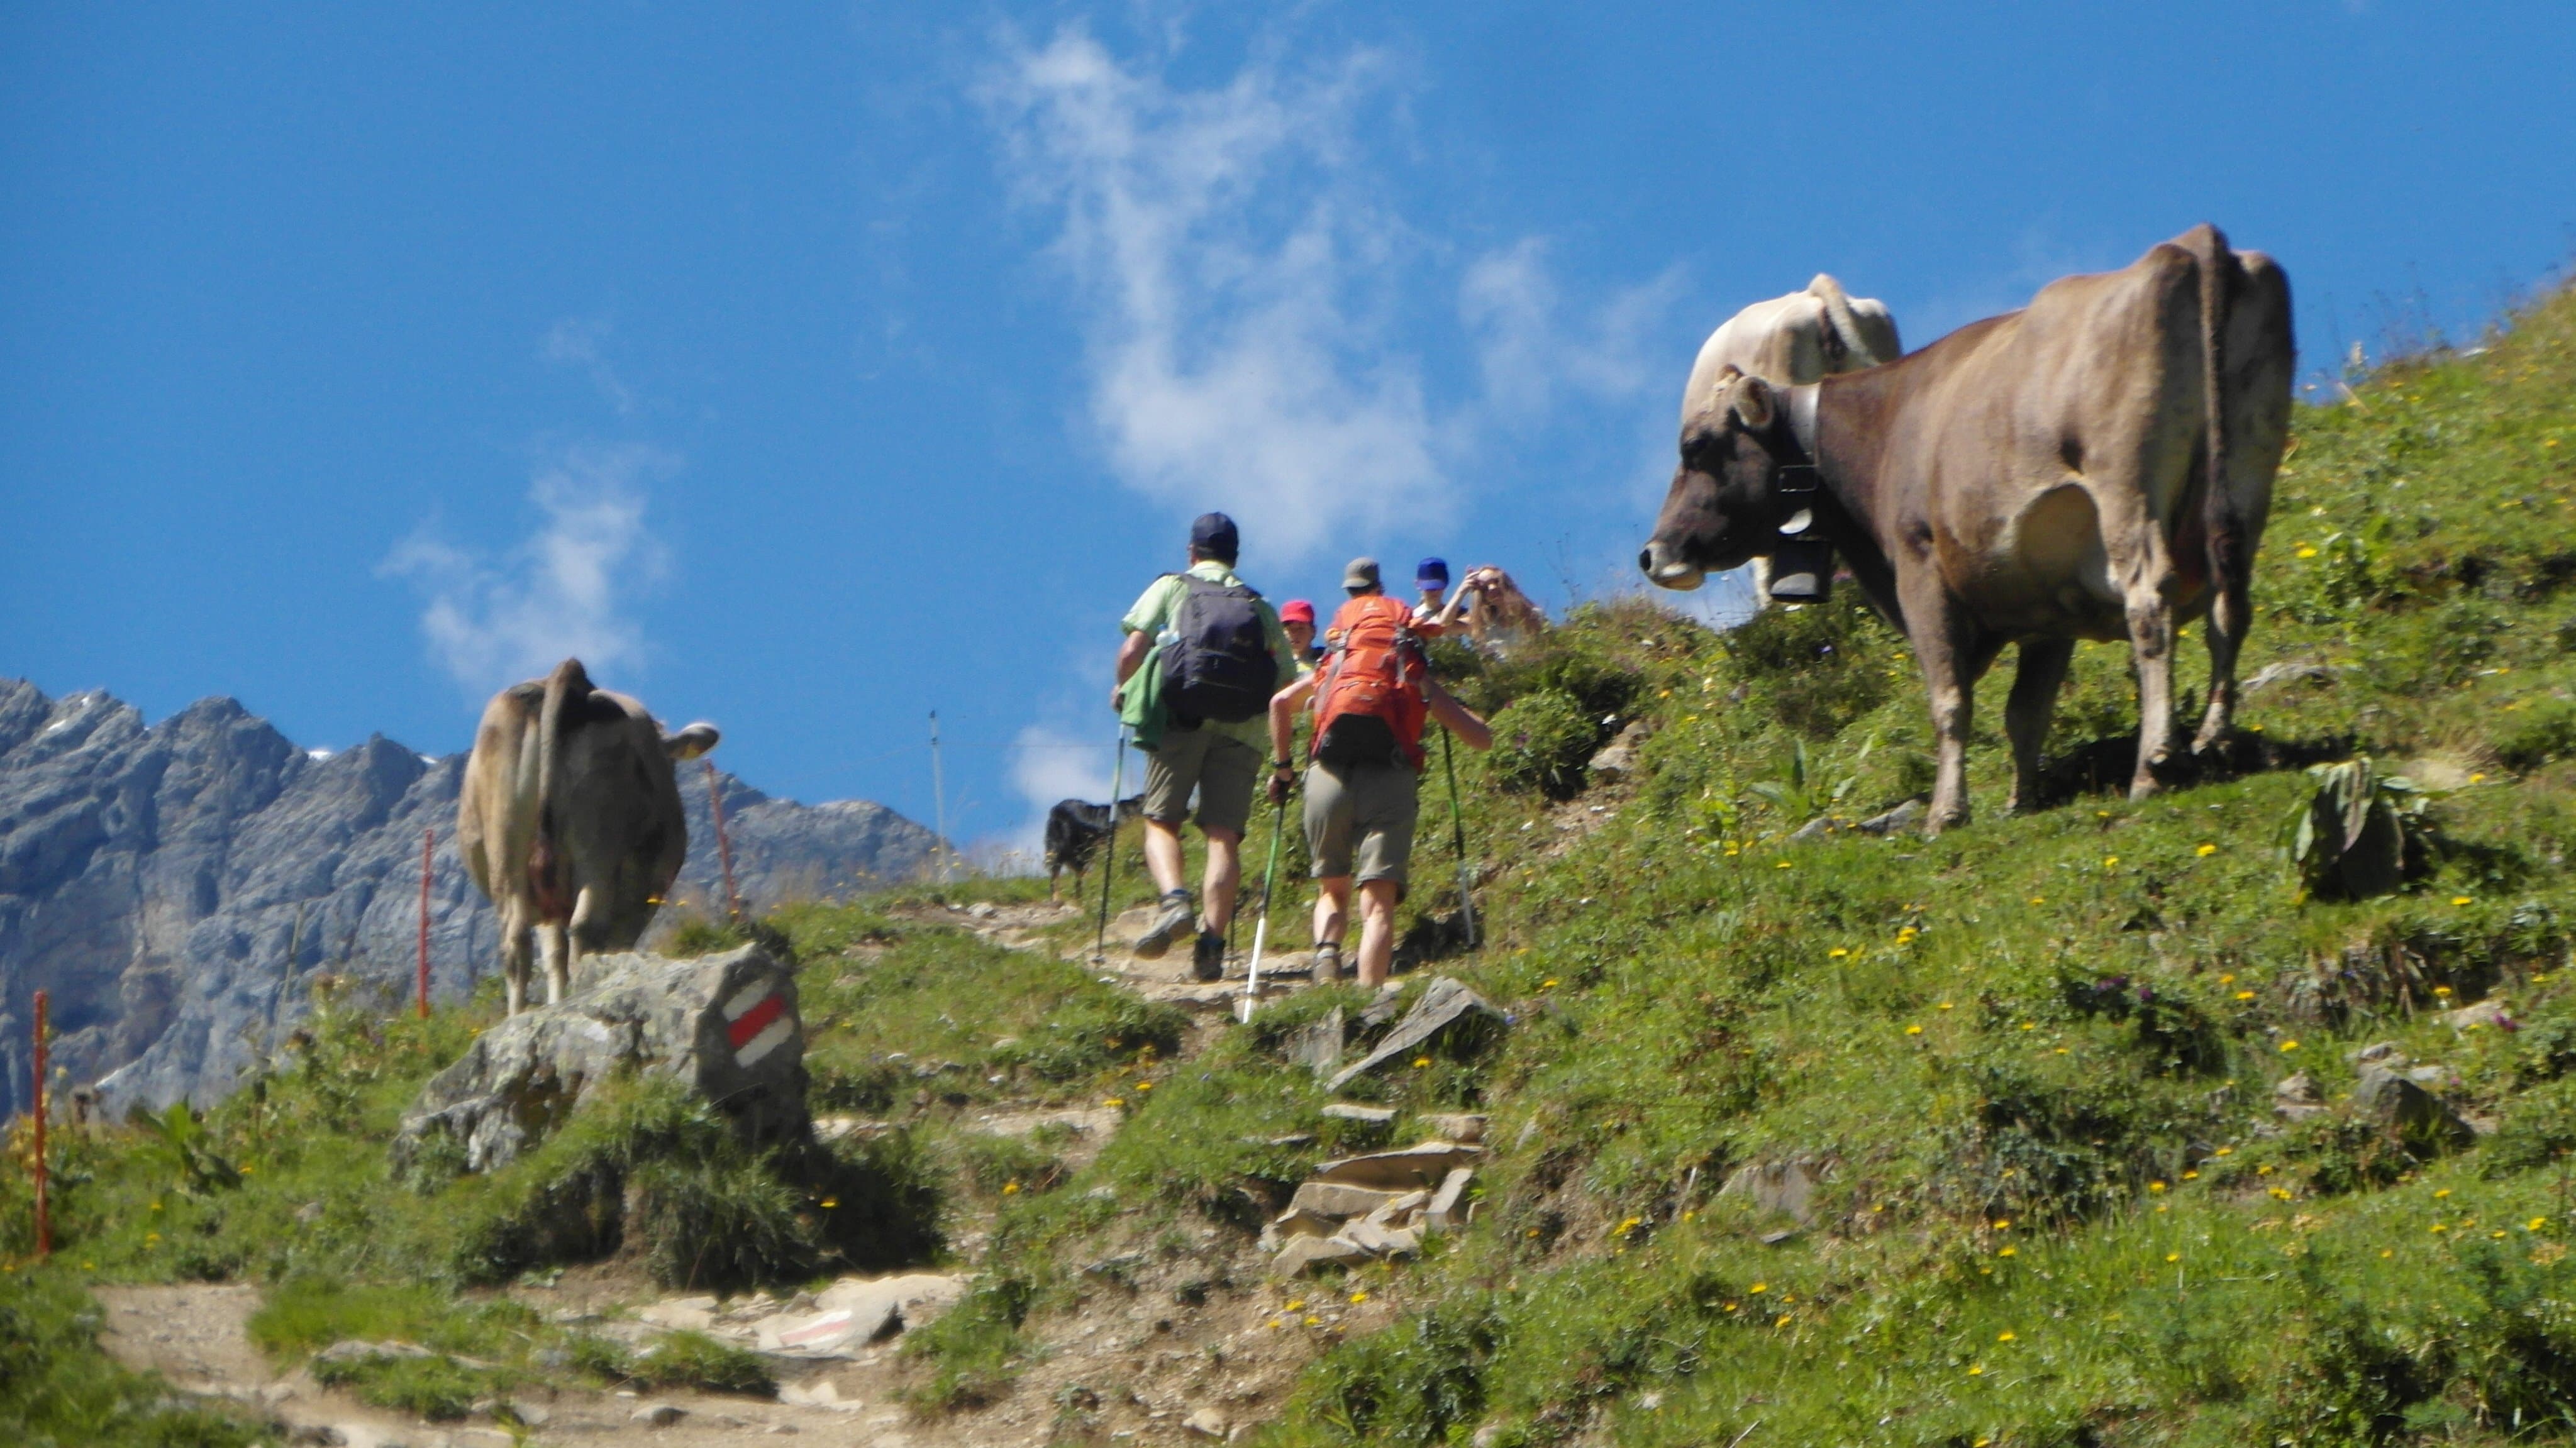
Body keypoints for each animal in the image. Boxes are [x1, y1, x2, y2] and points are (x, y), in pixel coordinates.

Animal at [458, 660, 721, 1010]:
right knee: (587, 927)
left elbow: (554, 954)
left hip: (506, 846)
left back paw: (519, 1016)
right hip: (598, 844)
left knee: (516, 941)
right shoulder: (642, 892)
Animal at [1638, 225, 2287, 834]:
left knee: (2151, 603)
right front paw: (2021, 803)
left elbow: (1949, 700)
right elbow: (2026, 712)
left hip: (2127, 483)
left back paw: (2155, 762)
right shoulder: (2049, 605)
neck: (1885, 426)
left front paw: (1946, 813)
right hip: (2246, 469)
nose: (1651, 553)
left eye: (1695, 446)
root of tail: (2191, 244)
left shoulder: (1921, 566)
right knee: (2231, 602)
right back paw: (2215, 738)